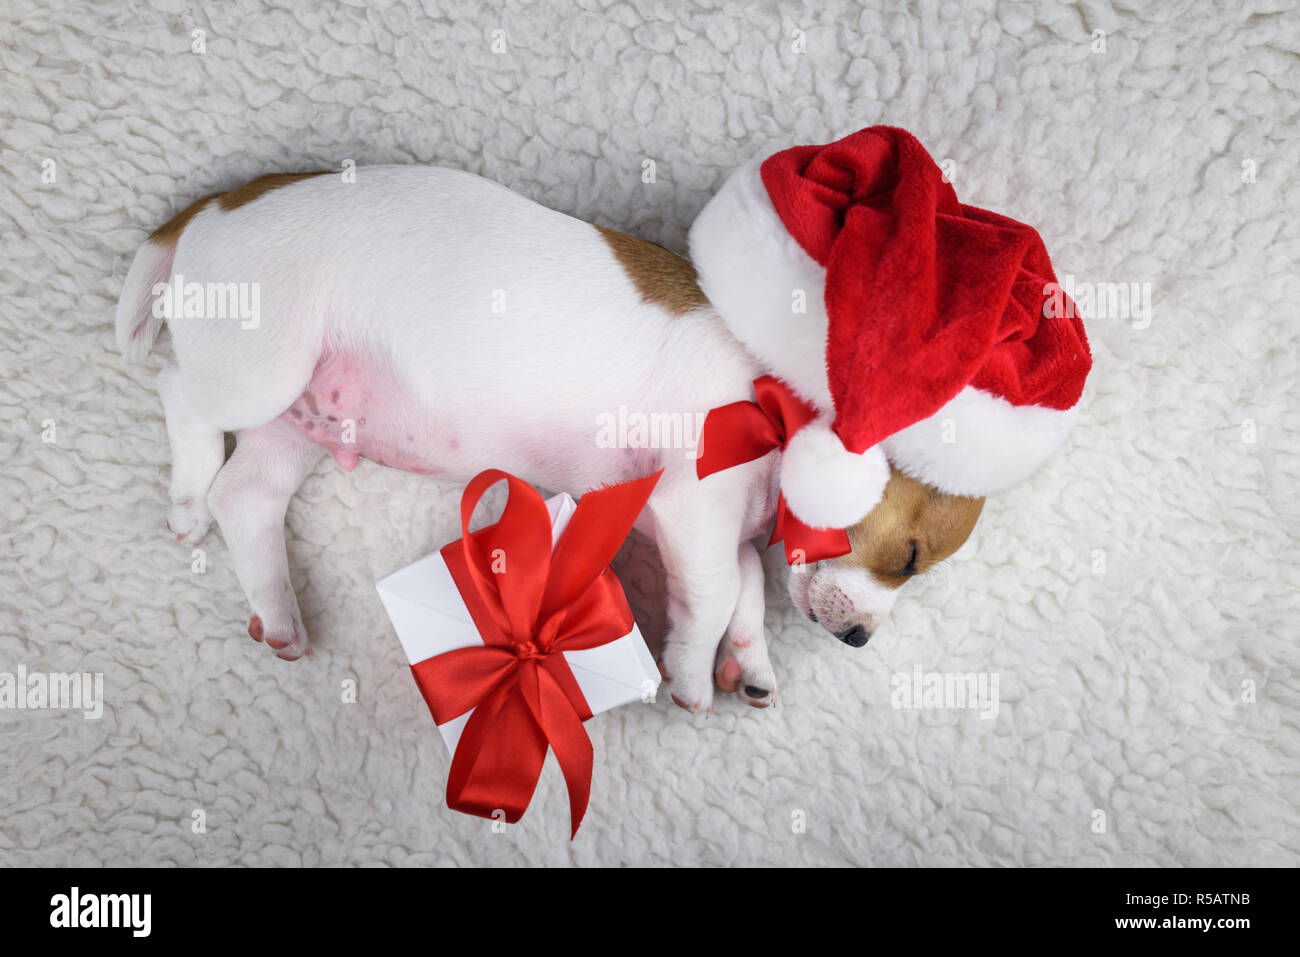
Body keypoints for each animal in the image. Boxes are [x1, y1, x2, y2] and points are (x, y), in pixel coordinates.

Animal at [114, 125, 1086, 712]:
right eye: (911, 557)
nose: (858, 638)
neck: (782, 402)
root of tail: (218, 204)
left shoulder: (705, 525)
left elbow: (746, 586)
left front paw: (750, 663)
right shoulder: (694, 511)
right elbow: (719, 593)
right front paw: (691, 675)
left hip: (294, 421)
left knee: (249, 498)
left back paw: (277, 610)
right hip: (256, 369)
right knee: (180, 396)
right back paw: (186, 490)